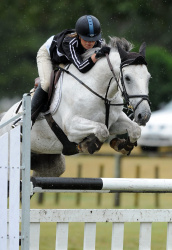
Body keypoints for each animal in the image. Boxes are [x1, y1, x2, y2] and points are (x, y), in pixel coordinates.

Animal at [0, 37, 150, 178]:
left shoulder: (114, 122)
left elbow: (134, 130)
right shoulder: (71, 126)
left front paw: (122, 145)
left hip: (50, 163)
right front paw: (88, 145)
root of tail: (3, 118)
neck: (99, 90)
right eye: (127, 78)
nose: (144, 115)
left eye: (148, 78)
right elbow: (102, 130)